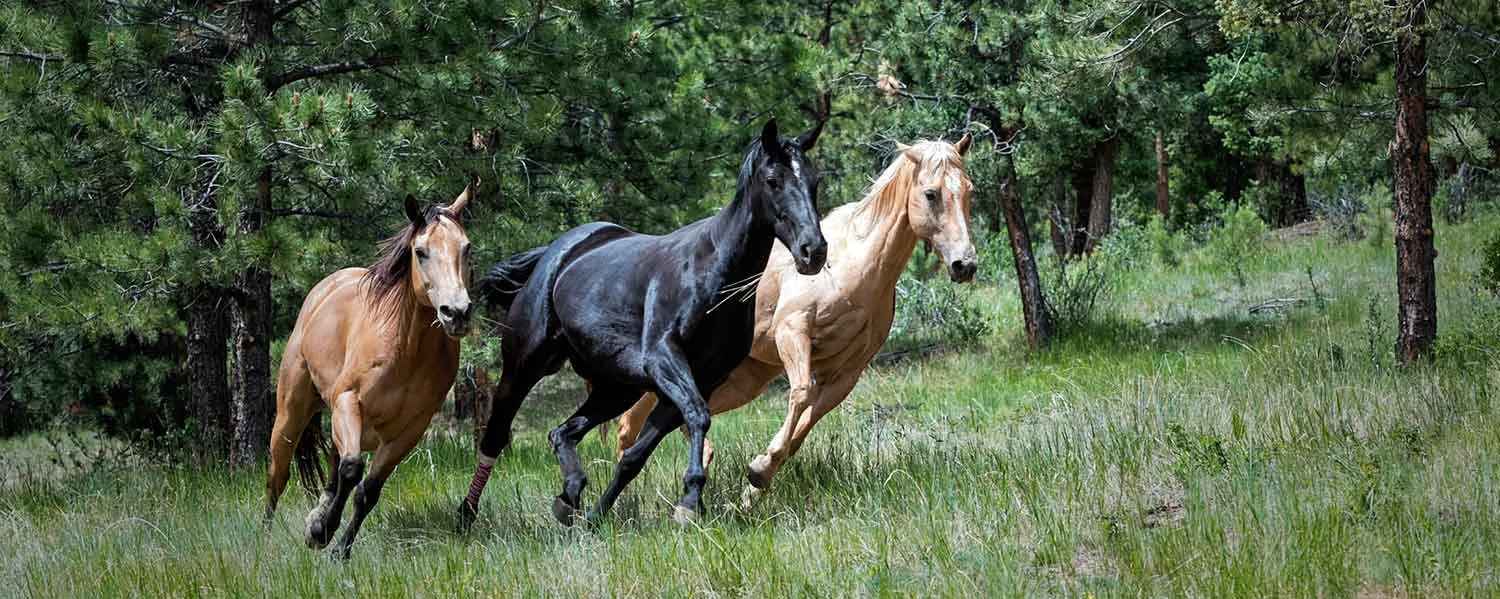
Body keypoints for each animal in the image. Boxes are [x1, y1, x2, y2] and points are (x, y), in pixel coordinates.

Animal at [264, 185, 476, 560]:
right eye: (420, 252)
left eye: (466, 248)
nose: (457, 313)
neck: (405, 350)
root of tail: (324, 289)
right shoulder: (348, 401)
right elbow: (351, 470)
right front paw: (322, 532)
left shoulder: (409, 431)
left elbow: (368, 490)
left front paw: (336, 547)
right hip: (292, 414)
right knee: (278, 475)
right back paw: (264, 539)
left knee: (334, 467)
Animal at [457, 119, 828, 530]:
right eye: (773, 179)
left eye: (814, 180)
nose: (813, 251)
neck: (712, 273)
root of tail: (556, 253)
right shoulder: (664, 360)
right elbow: (698, 415)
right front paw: (689, 501)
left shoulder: (696, 379)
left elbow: (636, 455)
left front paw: (598, 515)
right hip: (523, 366)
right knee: (495, 435)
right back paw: (467, 514)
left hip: (616, 388)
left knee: (562, 433)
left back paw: (570, 496)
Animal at [613, 135, 977, 505]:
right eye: (931, 193)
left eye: (968, 190)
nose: (965, 264)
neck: (854, 265)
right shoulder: (793, 333)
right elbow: (801, 394)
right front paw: (759, 469)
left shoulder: (847, 372)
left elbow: (808, 421)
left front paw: (757, 479)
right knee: (631, 424)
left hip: (744, 379)